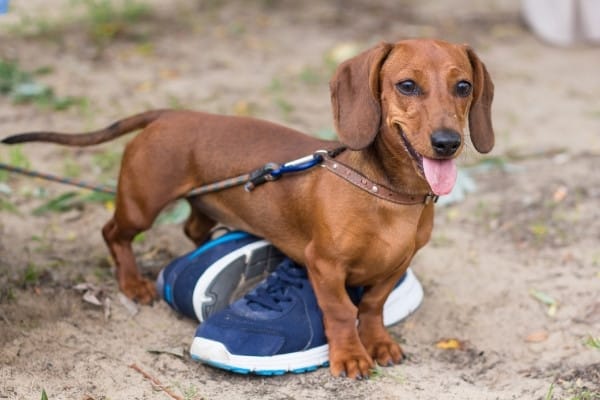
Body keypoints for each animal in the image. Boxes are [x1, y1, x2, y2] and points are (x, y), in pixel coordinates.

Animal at [3, 39, 492, 378]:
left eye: (463, 86)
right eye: (407, 85)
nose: (447, 143)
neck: (388, 193)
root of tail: (169, 114)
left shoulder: (397, 265)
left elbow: (372, 306)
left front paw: (378, 343)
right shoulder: (324, 266)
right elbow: (339, 311)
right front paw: (350, 355)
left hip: (205, 202)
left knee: (192, 232)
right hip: (141, 204)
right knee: (114, 233)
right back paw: (133, 283)